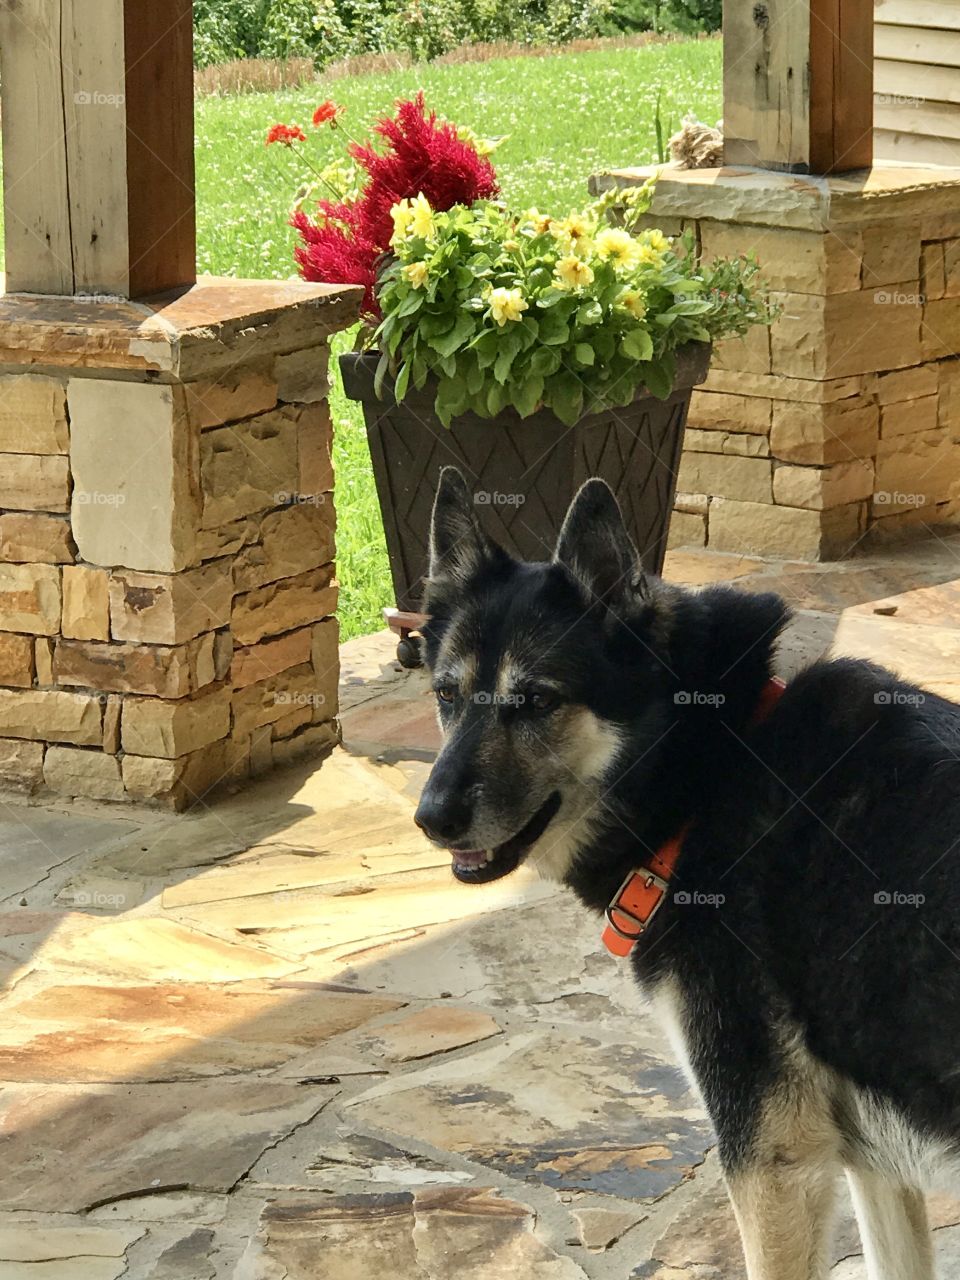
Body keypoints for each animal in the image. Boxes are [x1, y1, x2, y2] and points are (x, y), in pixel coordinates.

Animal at [412, 468, 960, 1280]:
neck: (711, 771)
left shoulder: (775, 1167)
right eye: (447, 696)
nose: (431, 818)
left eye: (537, 700)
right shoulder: (873, 1164)